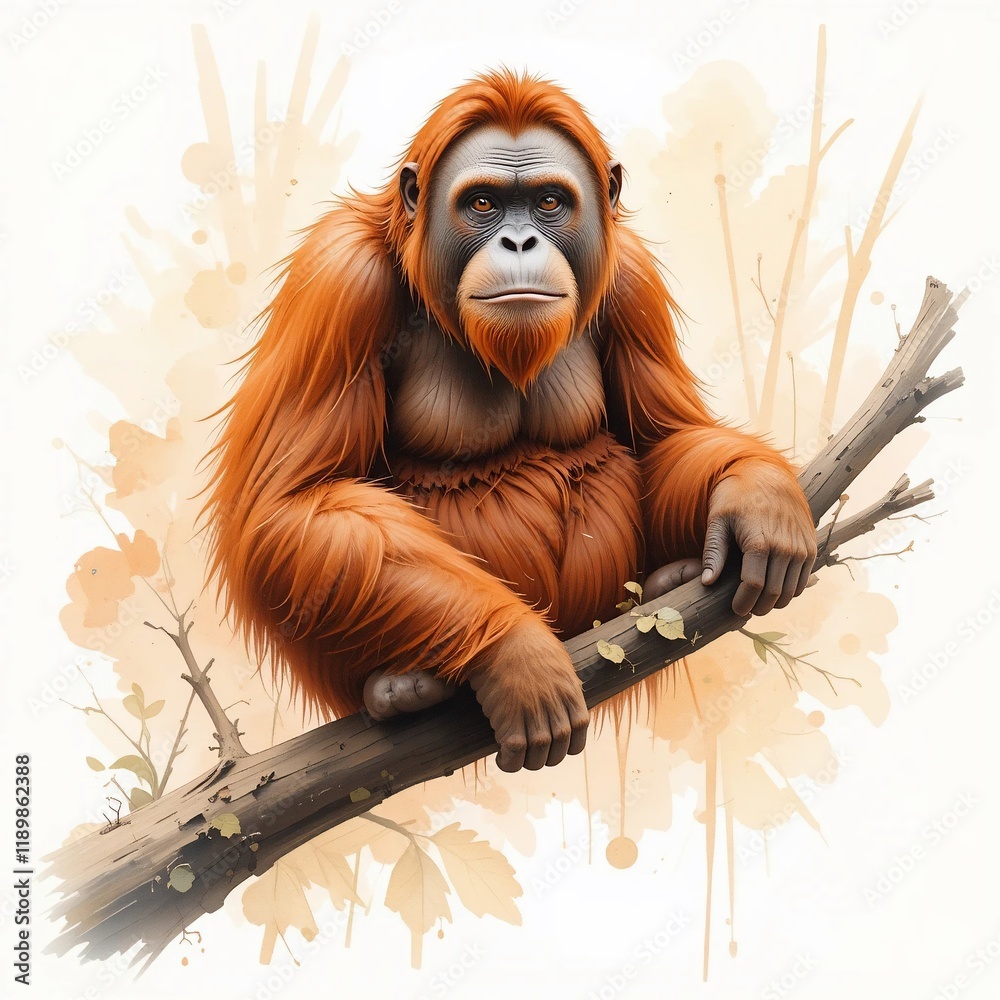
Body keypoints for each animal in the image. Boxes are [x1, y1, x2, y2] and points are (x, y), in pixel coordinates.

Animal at [204, 70, 816, 774]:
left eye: (549, 202)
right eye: (483, 204)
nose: (519, 241)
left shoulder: (632, 278)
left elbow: (666, 436)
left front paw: (758, 494)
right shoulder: (338, 277)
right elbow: (294, 500)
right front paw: (516, 654)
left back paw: (673, 579)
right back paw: (404, 688)